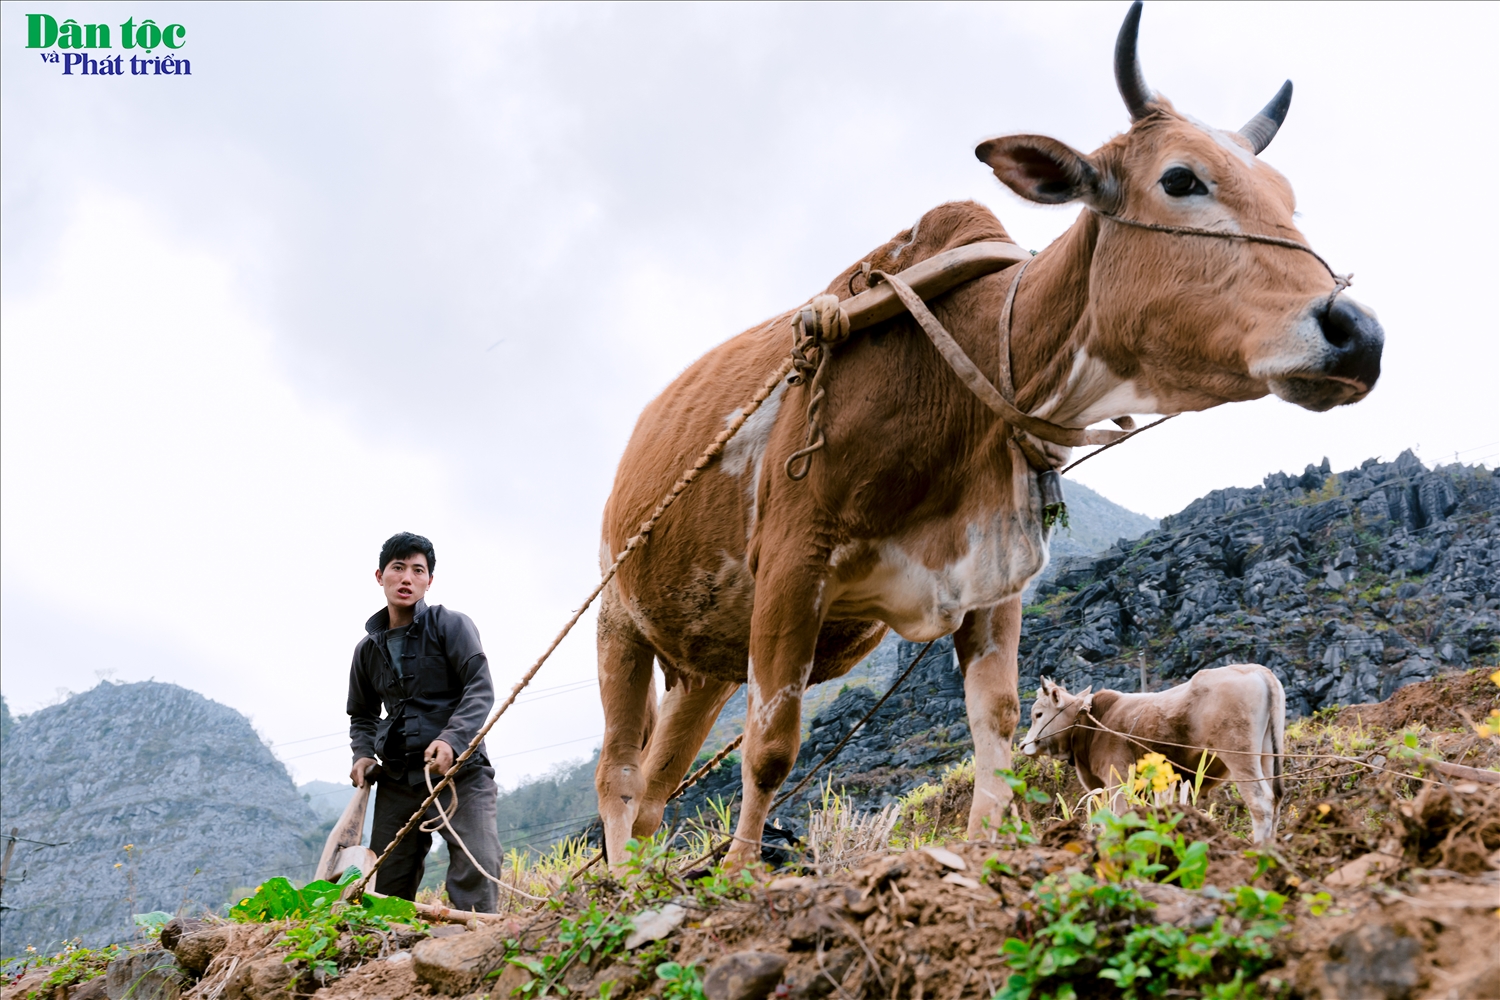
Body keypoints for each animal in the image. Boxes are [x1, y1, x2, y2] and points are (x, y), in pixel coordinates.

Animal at [1020, 668, 1290, 851]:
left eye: (1038, 714)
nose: (1023, 745)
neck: (1092, 725)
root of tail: (1259, 671)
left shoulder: (1118, 780)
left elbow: (1118, 818)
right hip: (1267, 757)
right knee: (1275, 801)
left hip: (1240, 757)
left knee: (1261, 802)